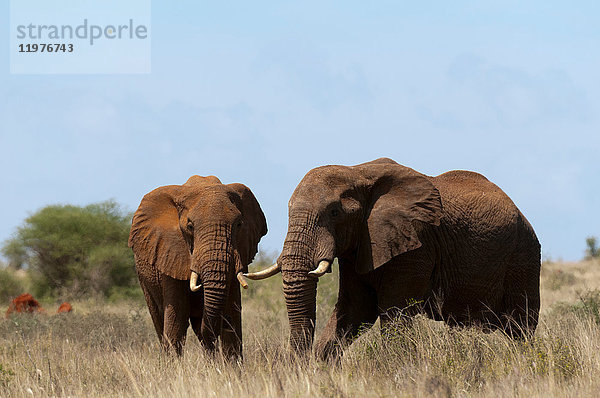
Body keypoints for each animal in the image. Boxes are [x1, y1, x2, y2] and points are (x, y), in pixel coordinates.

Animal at [129, 176, 268, 356]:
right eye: (190, 226)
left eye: (238, 224)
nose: (222, 324)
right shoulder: (170, 253)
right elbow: (177, 318)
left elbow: (232, 313)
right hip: (145, 281)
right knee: (160, 320)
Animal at [246, 157, 540, 360]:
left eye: (334, 213)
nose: (299, 364)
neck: (357, 172)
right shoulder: (360, 245)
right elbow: (355, 309)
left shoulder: (416, 243)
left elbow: (394, 314)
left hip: (523, 256)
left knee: (520, 327)